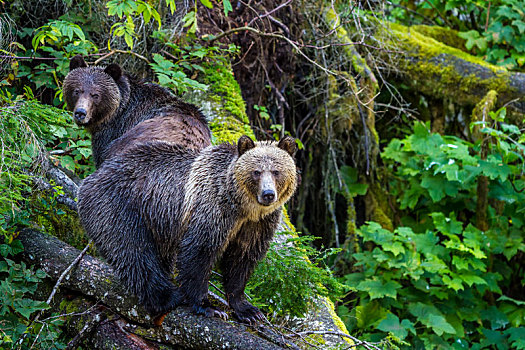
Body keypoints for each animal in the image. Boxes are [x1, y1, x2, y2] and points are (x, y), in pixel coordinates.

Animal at [78, 135, 298, 324]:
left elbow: (242, 259)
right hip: (120, 207)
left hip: (158, 224)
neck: (242, 206)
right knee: (133, 251)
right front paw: (208, 307)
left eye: (276, 171)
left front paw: (248, 310)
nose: (268, 194)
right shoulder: (212, 208)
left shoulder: (257, 224)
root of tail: (93, 176)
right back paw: (167, 297)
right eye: (256, 171)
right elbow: (199, 253)